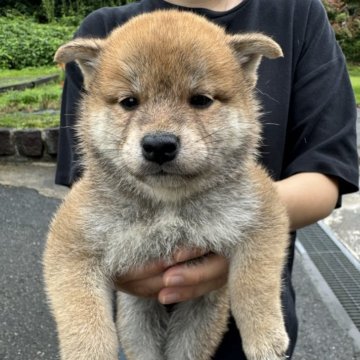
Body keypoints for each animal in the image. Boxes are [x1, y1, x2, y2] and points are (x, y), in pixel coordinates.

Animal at [43, 8, 290, 360]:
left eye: (200, 100)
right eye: (129, 102)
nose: (159, 145)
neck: (167, 205)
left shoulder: (263, 212)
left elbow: (255, 282)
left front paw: (266, 338)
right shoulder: (71, 244)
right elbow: (84, 318)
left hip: (201, 316)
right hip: (137, 318)